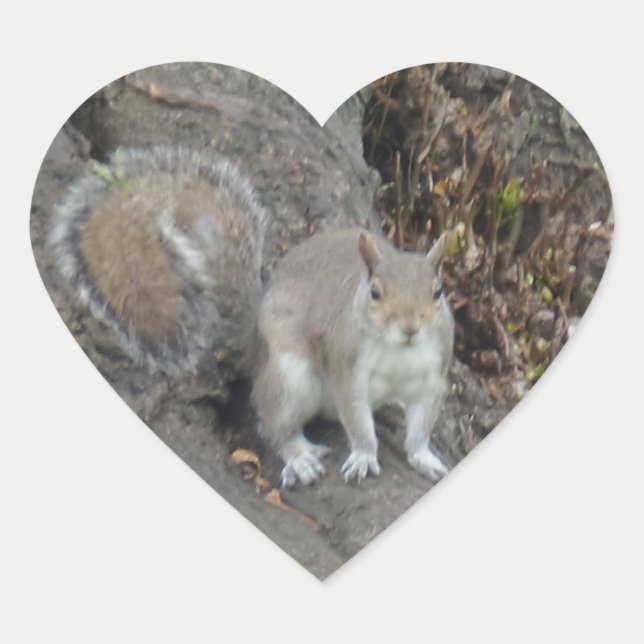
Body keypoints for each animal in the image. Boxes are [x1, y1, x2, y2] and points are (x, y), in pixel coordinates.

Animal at [50, 146, 454, 487]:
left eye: (438, 292)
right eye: (375, 293)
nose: (410, 328)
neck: (399, 351)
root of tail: (256, 341)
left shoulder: (433, 375)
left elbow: (421, 428)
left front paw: (424, 457)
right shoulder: (347, 365)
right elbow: (356, 421)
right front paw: (365, 456)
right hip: (289, 376)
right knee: (275, 426)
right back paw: (299, 456)